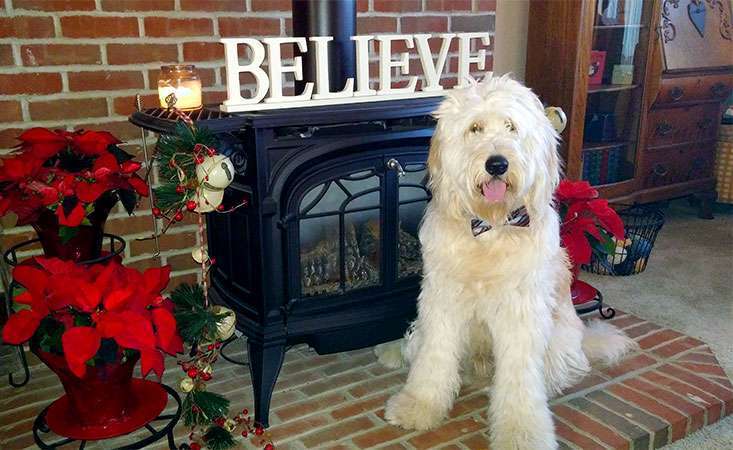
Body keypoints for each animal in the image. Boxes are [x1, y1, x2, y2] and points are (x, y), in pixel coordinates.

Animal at [378, 75, 636, 448]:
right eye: (475, 128)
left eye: (512, 127)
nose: (497, 164)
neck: (491, 229)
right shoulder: (441, 304)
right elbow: (433, 359)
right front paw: (419, 406)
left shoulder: (521, 315)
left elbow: (520, 383)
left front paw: (522, 434)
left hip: (558, 340)